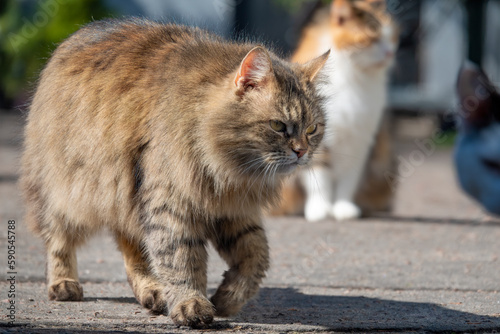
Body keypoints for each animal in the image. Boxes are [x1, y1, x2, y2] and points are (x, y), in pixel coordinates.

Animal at [20, 18, 328, 328]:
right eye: (278, 126)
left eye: (312, 129)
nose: (302, 151)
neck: (231, 170)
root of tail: (75, 36)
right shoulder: (170, 205)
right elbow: (181, 260)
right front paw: (191, 304)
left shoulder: (234, 211)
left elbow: (256, 259)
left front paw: (226, 299)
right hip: (69, 190)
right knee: (58, 239)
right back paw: (64, 284)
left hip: (125, 198)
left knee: (132, 251)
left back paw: (152, 292)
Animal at [278, 0, 398, 222]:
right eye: (373, 37)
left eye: (393, 37)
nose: (390, 53)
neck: (355, 78)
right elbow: (318, 178)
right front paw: (320, 209)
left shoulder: (359, 142)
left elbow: (348, 179)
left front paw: (343, 208)